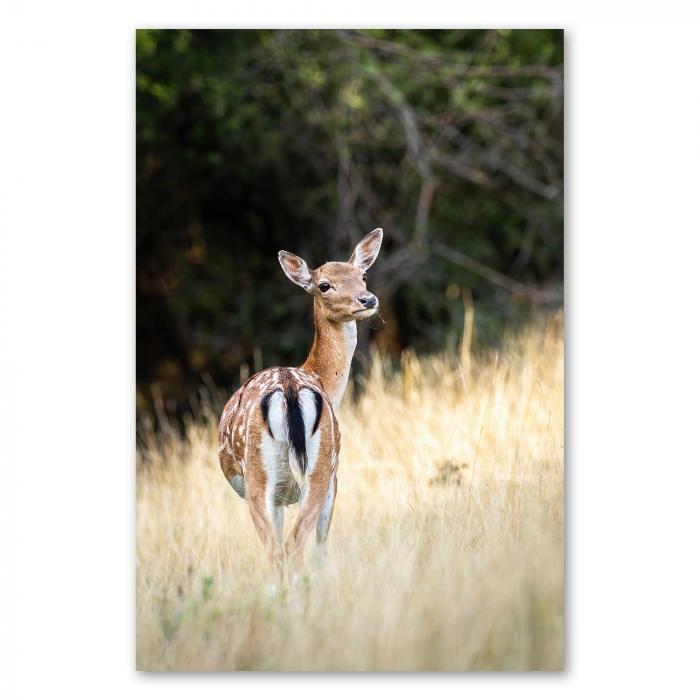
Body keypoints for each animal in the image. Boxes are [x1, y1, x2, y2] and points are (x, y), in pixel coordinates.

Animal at [219, 227, 382, 572]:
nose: (368, 299)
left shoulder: (284, 495)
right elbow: (320, 547)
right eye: (324, 285)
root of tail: (291, 389)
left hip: (265, 477)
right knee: (292, 548)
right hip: (315, 467)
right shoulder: (335, 476)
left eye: (362, 275)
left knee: (278, 550)